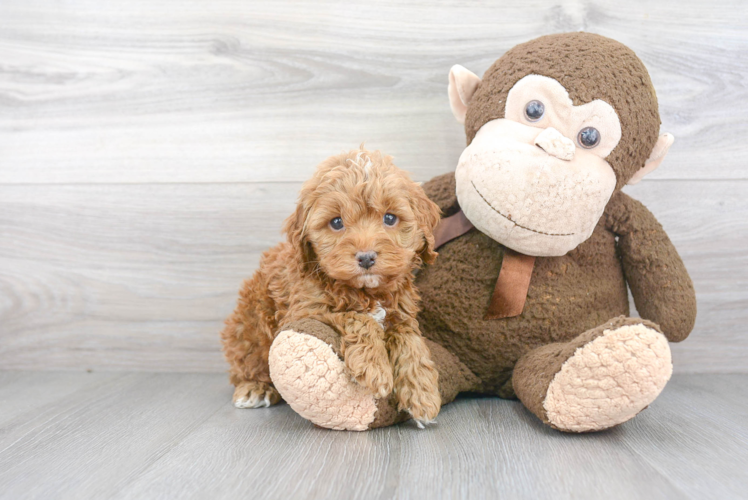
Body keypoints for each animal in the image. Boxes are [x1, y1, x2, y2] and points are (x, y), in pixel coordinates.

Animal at [222, 147, 444, 426]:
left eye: (390, 218)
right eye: (337, 222)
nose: (366, 258)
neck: (366, 292)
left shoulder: (402, 314)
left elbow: (409, 340)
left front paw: (421, 392)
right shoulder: (306, 310)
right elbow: (357, 317)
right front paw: (374, 366)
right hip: (250, 327)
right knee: (248, 363)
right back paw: (254, 388)